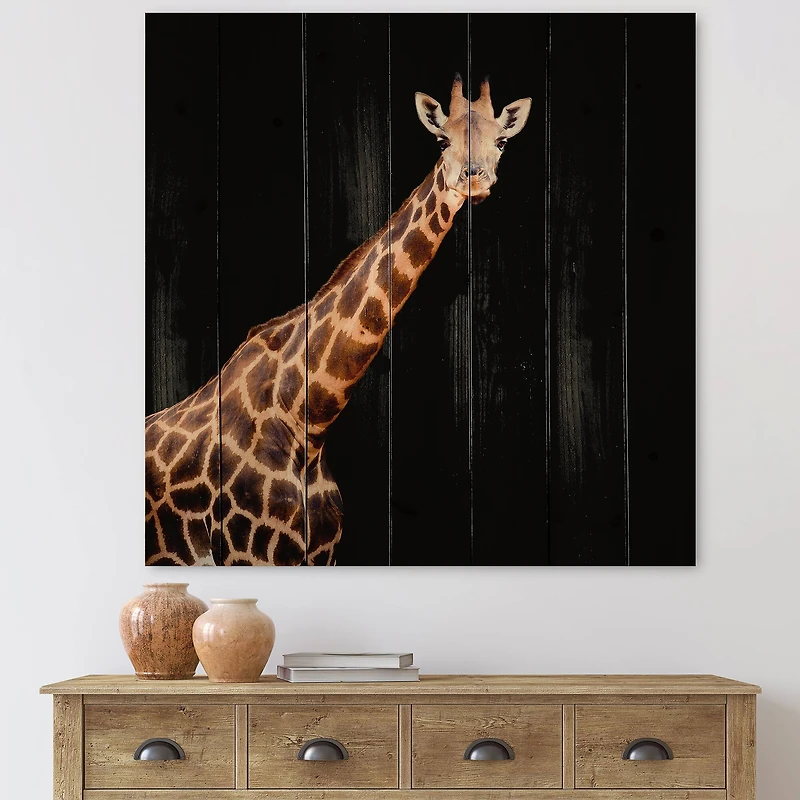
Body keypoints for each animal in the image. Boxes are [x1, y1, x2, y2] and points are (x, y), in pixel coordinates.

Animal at [145, 75, 531, 566]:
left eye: (501, 141)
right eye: (442, 140)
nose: (474, 177)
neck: (307, 422)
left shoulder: (322, 554)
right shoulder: (247, 554)